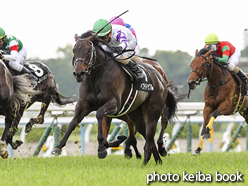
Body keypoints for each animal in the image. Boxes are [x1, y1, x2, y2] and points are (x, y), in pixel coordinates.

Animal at [51, 31, 177, 165]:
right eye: (74, 50)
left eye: (89, 50)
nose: (79, 73)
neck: (97, 77)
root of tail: (160, 77)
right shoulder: (84, 104)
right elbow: (73, 122)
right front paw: (58, 147)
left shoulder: (115, 104)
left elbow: (99, 114)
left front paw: (102, 149)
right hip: (135, 114)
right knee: (148, 135)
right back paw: (157, 160)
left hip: (153, 109)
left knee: (158, 125)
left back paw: (158, 151)